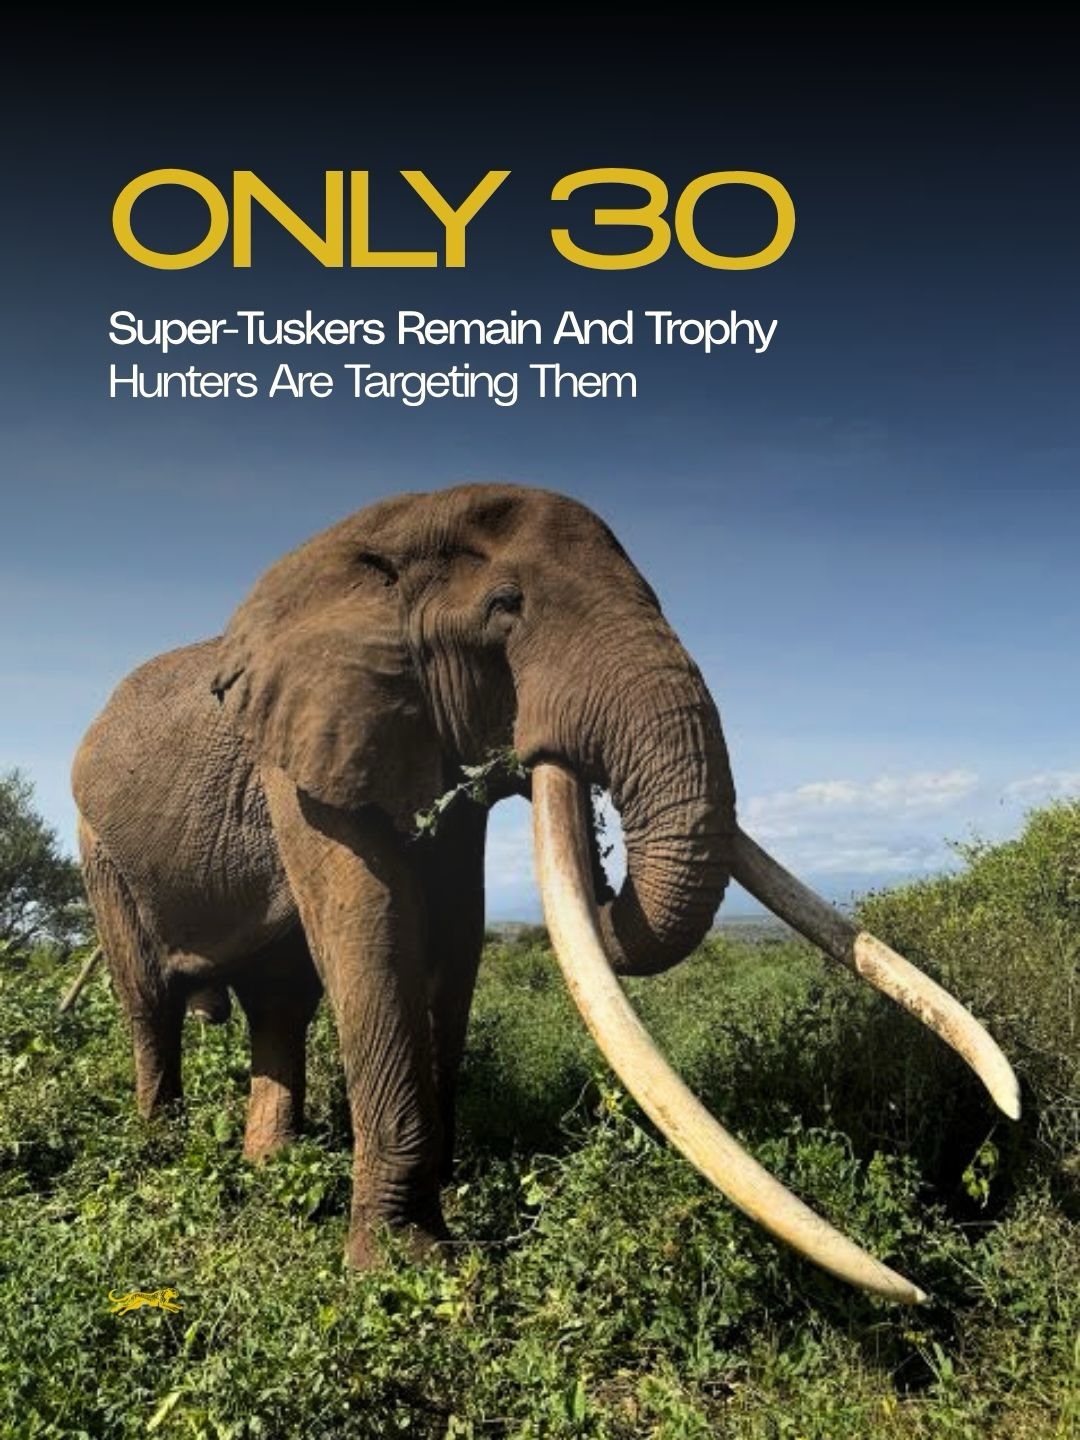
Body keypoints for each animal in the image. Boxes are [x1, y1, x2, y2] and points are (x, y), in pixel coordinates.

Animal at [72, 483, 1018, 1303]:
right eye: (505, 608)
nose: (993, 1150)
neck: (381, 536)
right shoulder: (306, 750)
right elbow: (374, 929)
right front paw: (402, 1269)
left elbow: (452, 935)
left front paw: (440, 1224)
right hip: (98, 848)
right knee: (150, 1001)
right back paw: (162, 1151)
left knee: (277, 1002)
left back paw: (266, 1167)